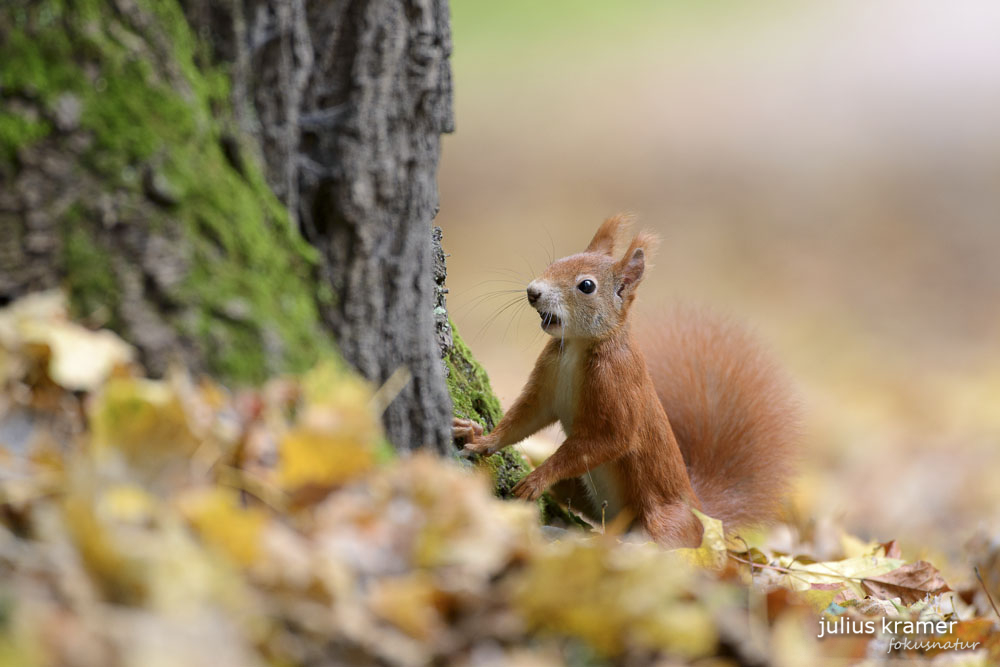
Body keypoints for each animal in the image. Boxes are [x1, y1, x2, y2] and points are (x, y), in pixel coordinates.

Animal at [458, 214, 800, 548]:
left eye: (586, 285)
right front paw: (481, 439)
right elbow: (526, 416)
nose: (533, 291)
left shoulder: (616, 385)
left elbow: (610, 439)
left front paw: (536, 479)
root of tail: (704, 519)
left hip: (663, 523)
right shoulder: (548, 378)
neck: (577, 348)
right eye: (557, 261)